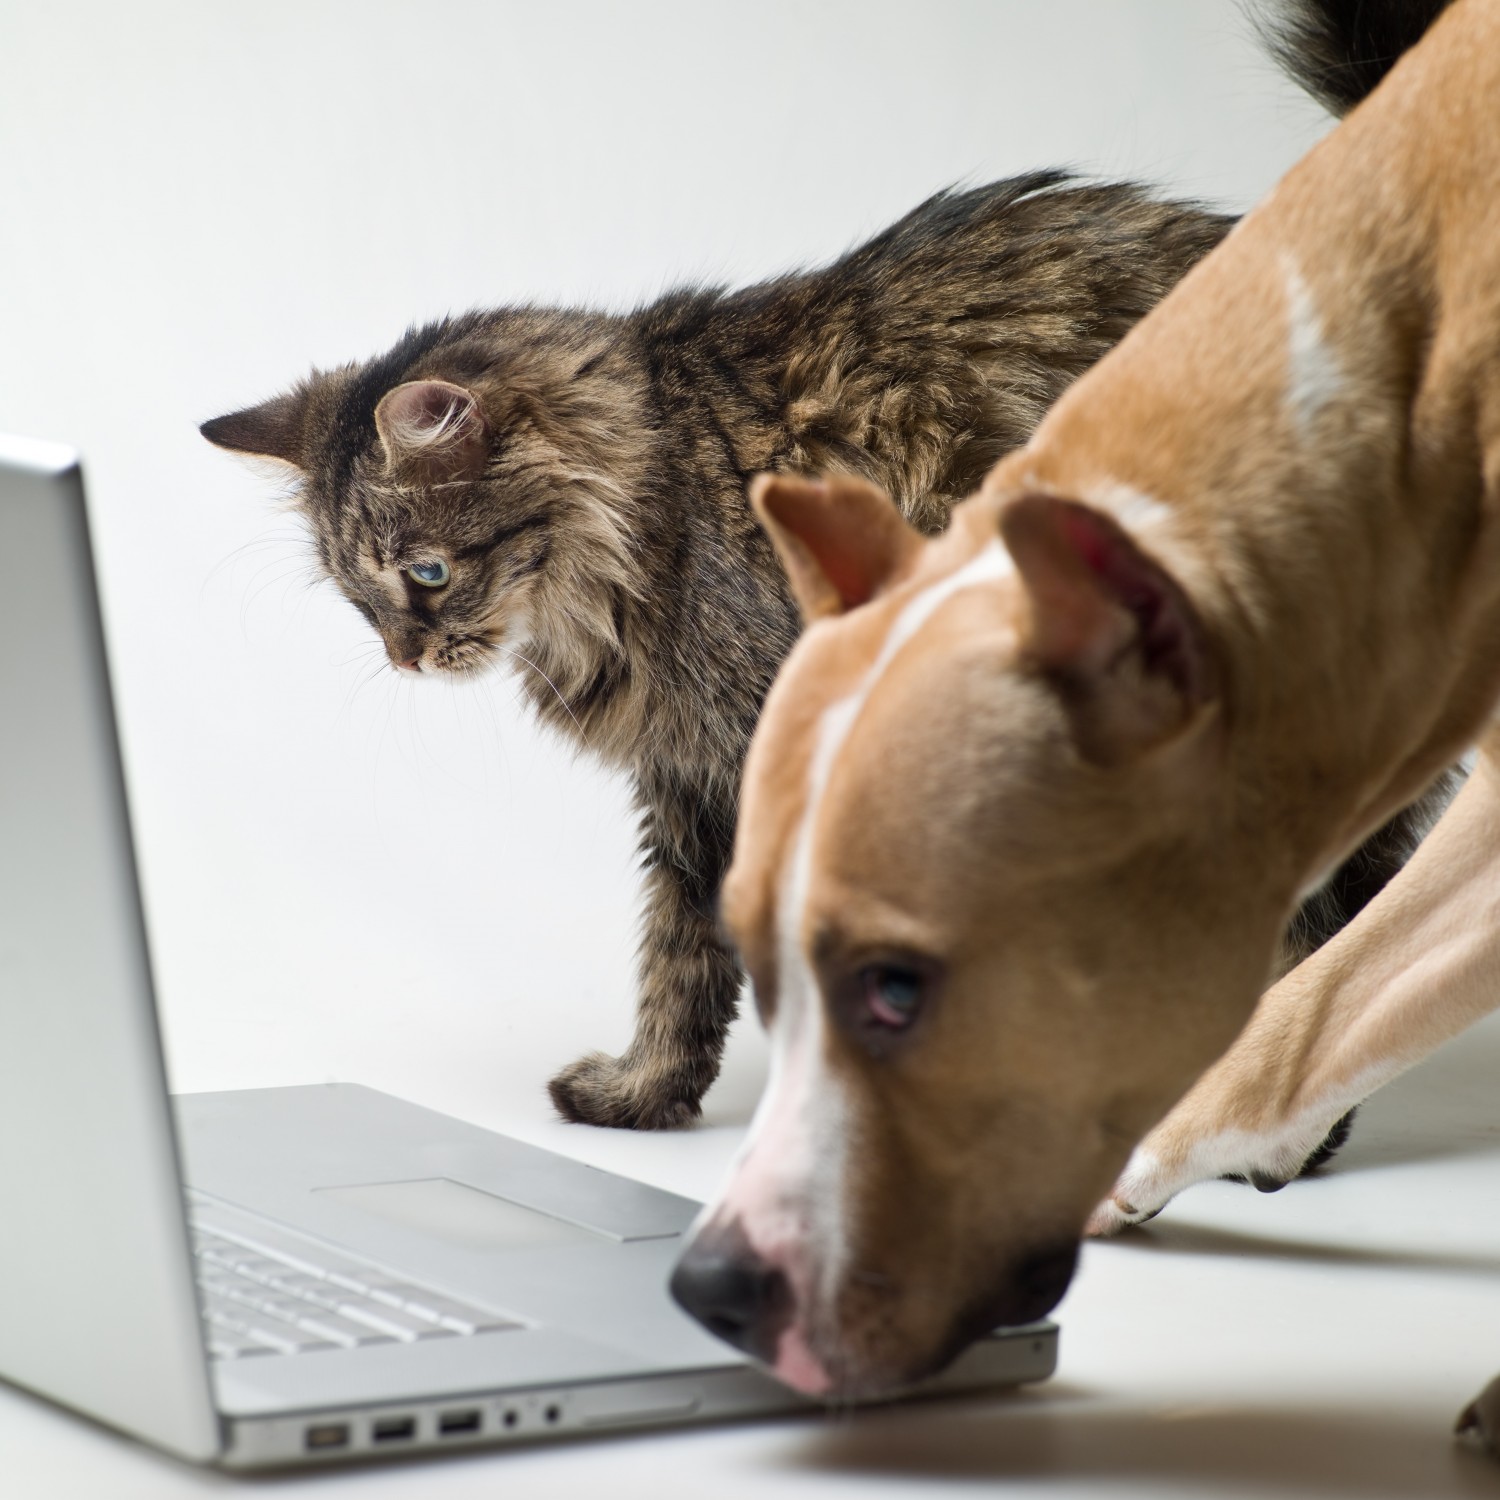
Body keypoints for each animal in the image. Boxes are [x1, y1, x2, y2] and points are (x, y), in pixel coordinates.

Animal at [202, 172, 1452, 1128]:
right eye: (357, 599)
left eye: (424, 574)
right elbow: (679, 955)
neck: (648, 503)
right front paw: (645, 1094)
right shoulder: (692, 781)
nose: (407, 657)